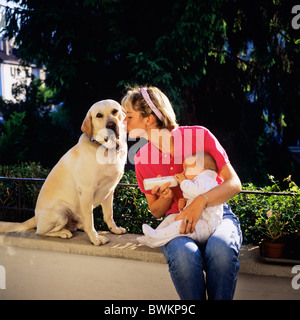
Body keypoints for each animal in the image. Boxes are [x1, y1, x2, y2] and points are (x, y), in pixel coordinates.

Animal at [0, 100, 127, 245]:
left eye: (115, 111)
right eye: (99, 115)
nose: (111, 124)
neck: (107, 149)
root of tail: (35, 217)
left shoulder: (109, 190)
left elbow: (109, 214)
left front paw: (115, 229)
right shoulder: (87, 191)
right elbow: (90, 218)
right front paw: (95, 238)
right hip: (61, 213)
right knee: (41, 231)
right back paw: (63, 232)